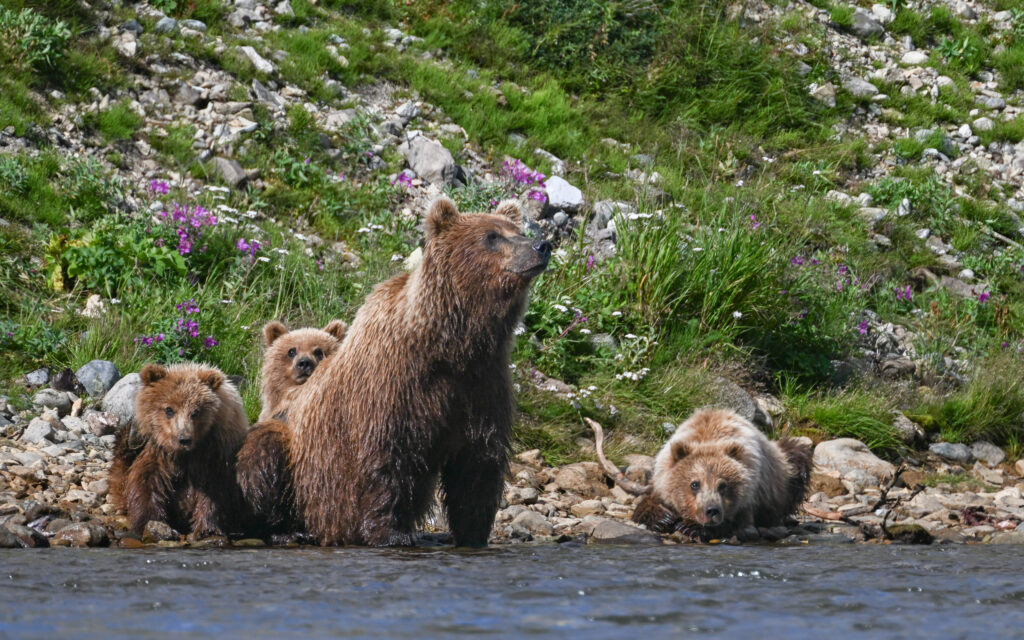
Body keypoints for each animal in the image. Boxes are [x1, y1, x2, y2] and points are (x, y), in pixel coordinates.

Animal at [109, 362, 250, 538]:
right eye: (169, 409)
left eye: (196, 412)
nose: (184, 439)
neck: (184, 454)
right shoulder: (156, 453)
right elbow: (146, 483)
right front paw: (147, 522)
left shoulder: (215, 454)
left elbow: (215, 492)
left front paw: (207, 528)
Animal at [284, 198, 551, 546]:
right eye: (492, 236)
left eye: (517, 231)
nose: (541, 246)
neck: (450, 346)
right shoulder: (392, 387)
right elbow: (386, 461)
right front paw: (392, 533)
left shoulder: (482, 383)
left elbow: (478, 464)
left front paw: (474, 532)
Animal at [630, 408, 811, 539]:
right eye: (694, 484)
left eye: (723, 485)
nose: (712, 510)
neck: (710, 438)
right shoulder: (661, 478)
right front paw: (662, 518)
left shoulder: (751, 495)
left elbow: (737, 522)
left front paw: (691, 527)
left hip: (782, 479)